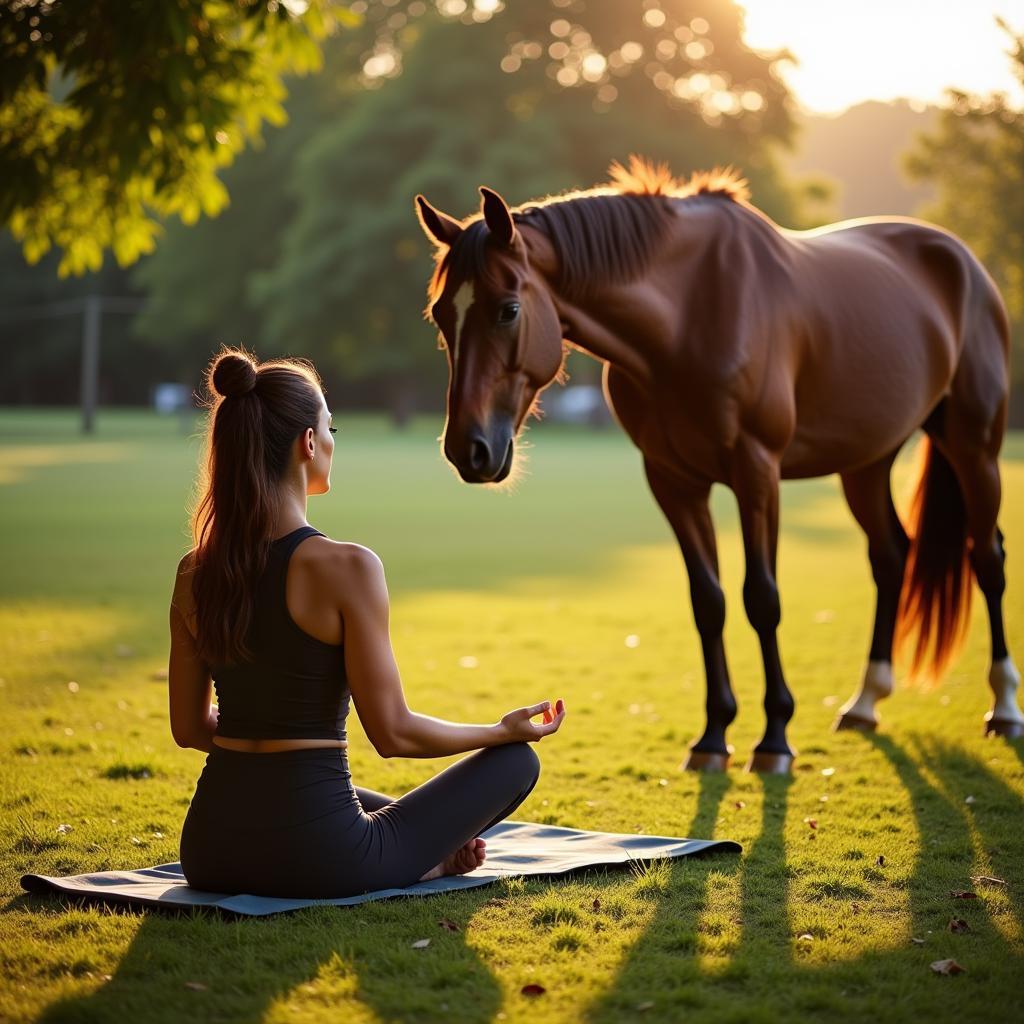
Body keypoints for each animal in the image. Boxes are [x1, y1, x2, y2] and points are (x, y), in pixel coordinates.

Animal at [411, 155, 1019, 770]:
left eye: (508, 310)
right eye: (440, 314)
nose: (468, 450)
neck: (692, 314)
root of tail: (963, 261)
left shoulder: (757, 472)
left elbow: (761, 599)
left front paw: (774, 738)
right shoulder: (673, 481)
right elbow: (709, 602)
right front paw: (712, 735)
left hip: (974, 447)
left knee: (987, 557)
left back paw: (1004, 708)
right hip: (866, 462)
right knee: (891, 555)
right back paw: (865, 702)